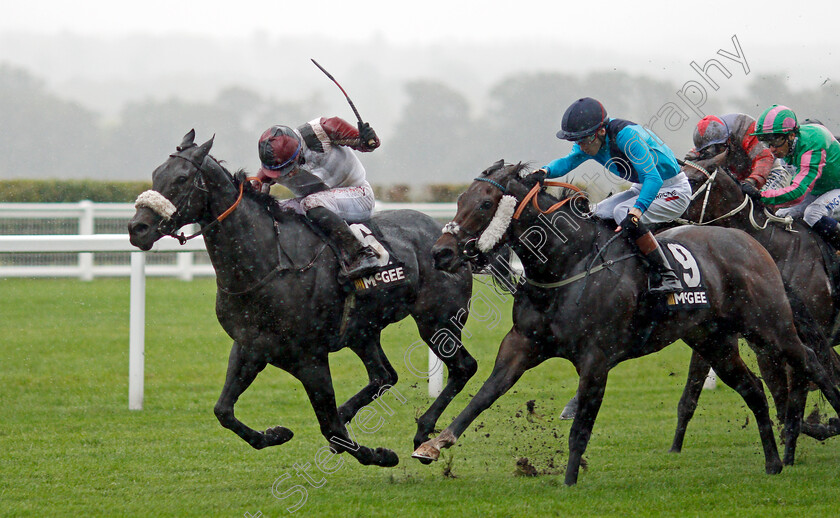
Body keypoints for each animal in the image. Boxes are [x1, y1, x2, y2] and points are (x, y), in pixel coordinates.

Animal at [126, 131, 480, 468]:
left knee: (463, 367)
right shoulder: (250, 347)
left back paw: (424, 433)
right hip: (363, 331)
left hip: (437, 320)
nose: (136, 228)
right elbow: (223, 410)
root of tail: (447, 237)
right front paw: (276, 433)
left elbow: (330, 428)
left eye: (182, 178)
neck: (268, 262)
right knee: (384, 375)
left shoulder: (310, 358)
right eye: (156, 174)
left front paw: (380, 455)